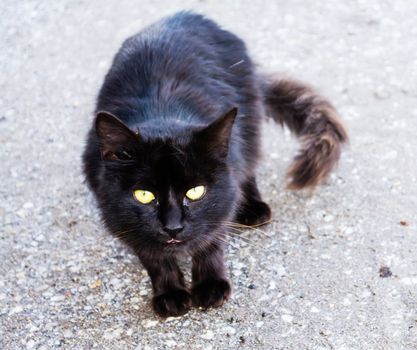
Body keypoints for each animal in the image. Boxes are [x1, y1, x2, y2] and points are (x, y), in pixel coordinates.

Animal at [83, 10, 346, 318]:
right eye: (144, 195)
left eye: (195, 192)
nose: (173, 227)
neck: (162, 112)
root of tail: (186, 15)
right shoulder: (117, 214)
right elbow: (154, 257)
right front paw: (170, 293)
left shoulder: (221, 203)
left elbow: (211, 241)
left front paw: (210, 286)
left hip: (246, 125)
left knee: (247, 167)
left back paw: (254, 208)